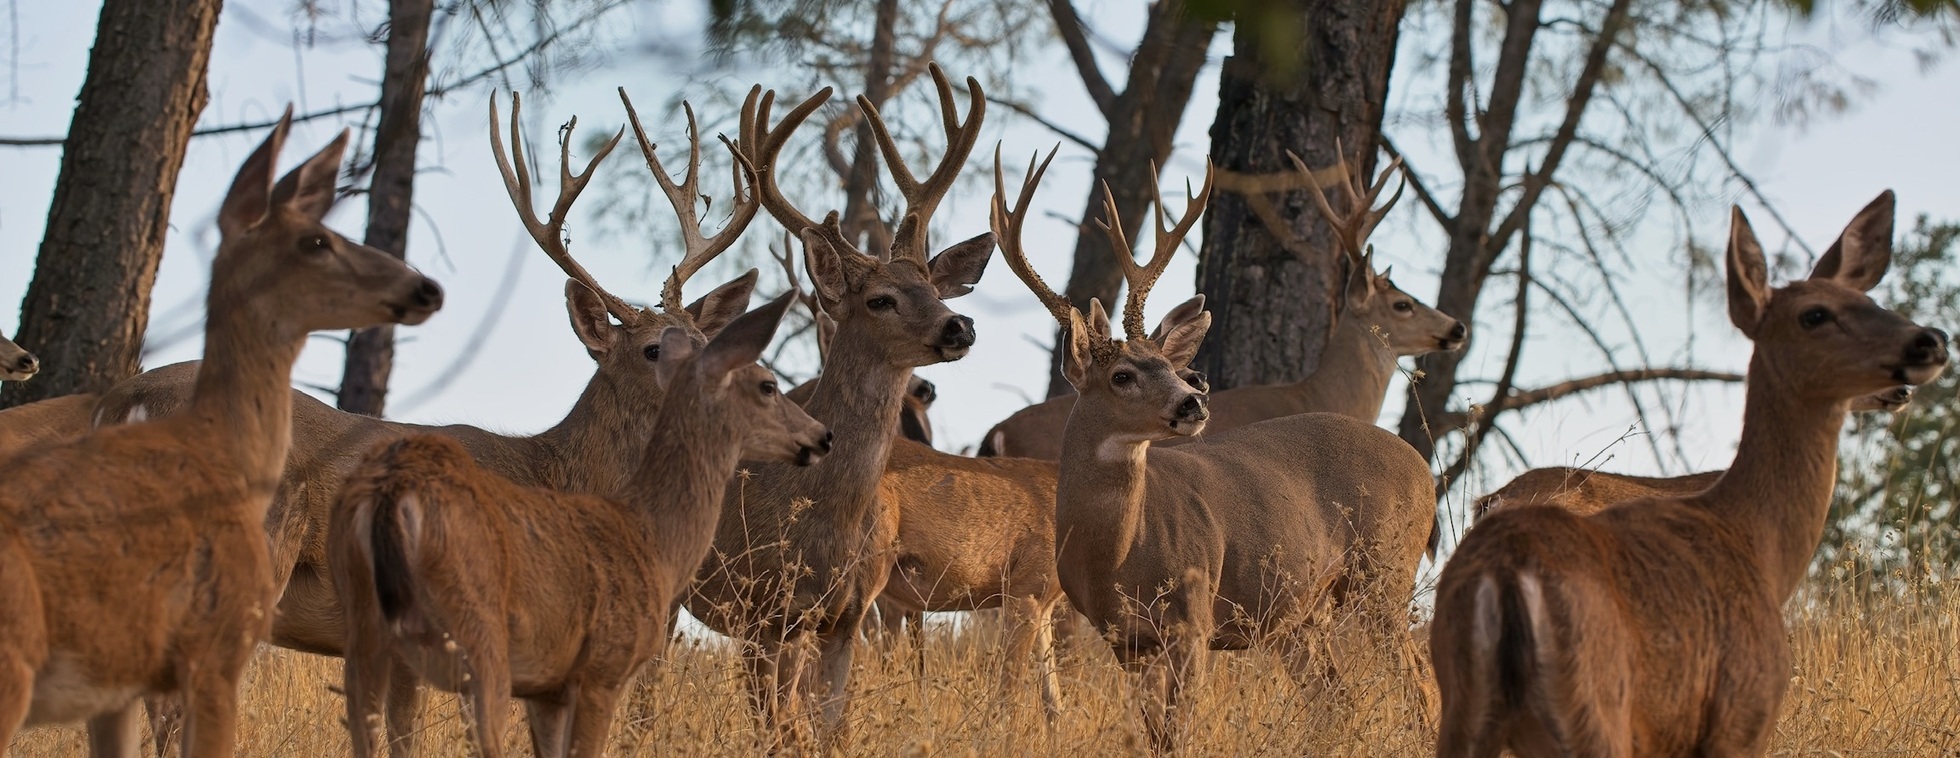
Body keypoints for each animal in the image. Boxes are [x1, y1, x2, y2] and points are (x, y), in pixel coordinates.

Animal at [682, 64, 996, 748]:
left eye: (934, 289)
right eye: (879, 299)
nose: (960, 325)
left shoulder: (844, 619)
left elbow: (828, 732)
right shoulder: (759, 612)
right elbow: (772, 734)